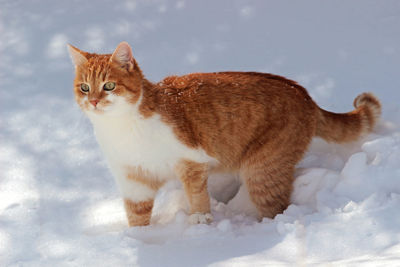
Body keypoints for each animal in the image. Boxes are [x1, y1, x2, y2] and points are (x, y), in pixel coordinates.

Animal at [68, 42, 382, 228]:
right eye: (84, 87)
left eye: (109, 86)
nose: (93, 101)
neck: (123, 127)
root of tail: (304, 94)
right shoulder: (134, 181)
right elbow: (137, 216)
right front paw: (140, 240)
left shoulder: (191, 161)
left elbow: (197, 197)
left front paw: (200, 223)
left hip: (262, 171)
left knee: (277, 207)